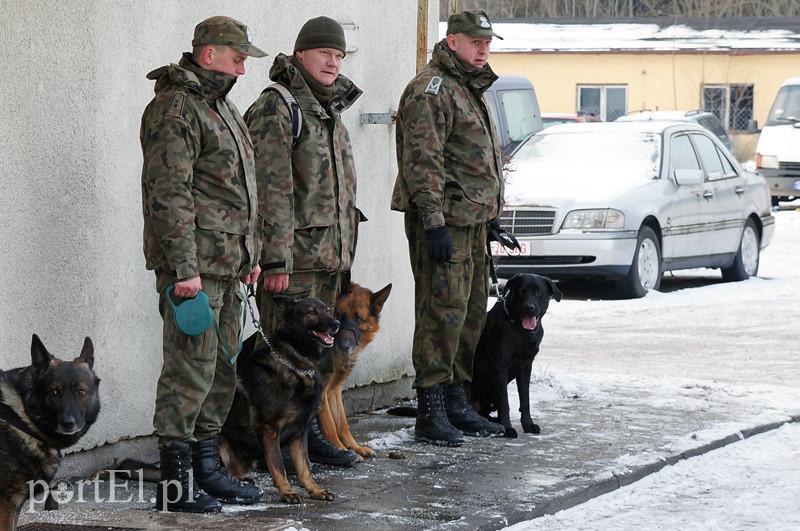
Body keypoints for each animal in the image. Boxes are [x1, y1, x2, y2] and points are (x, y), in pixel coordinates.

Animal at [219, 298, 340, 504]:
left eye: (328, 309)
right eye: (311, 312)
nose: (337, 324)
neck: (296, 364)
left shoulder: (300, 432)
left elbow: (304, 466)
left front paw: (314, 490)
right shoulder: (270, 431)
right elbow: (278, 465)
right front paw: (287, 492)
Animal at [318, 284, 394, 460]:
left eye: (359, 319)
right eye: (339, 315)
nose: (344, 347)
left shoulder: (334, 391)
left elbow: (342, 424)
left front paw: (355, 447)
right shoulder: (322, 393)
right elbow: (331, 427)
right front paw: (341, 451)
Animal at [472, 272, 560, 438]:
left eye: (539, 293)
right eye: (521, 292)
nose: (529, 308)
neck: (520, 330)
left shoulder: (525, 366)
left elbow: (525, 399)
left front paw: (528, 425)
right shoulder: (500, 366)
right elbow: (504, 402)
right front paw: (507, 428)